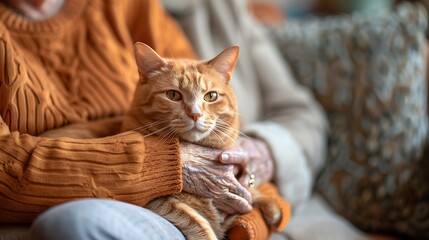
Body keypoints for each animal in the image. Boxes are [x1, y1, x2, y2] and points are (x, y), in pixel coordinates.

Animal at [120, 42, 280, 239]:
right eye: (173, 95)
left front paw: (270, 208)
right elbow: (196, 221)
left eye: (211, 96)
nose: (195, 114)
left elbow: (249, 195)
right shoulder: (156, 201)